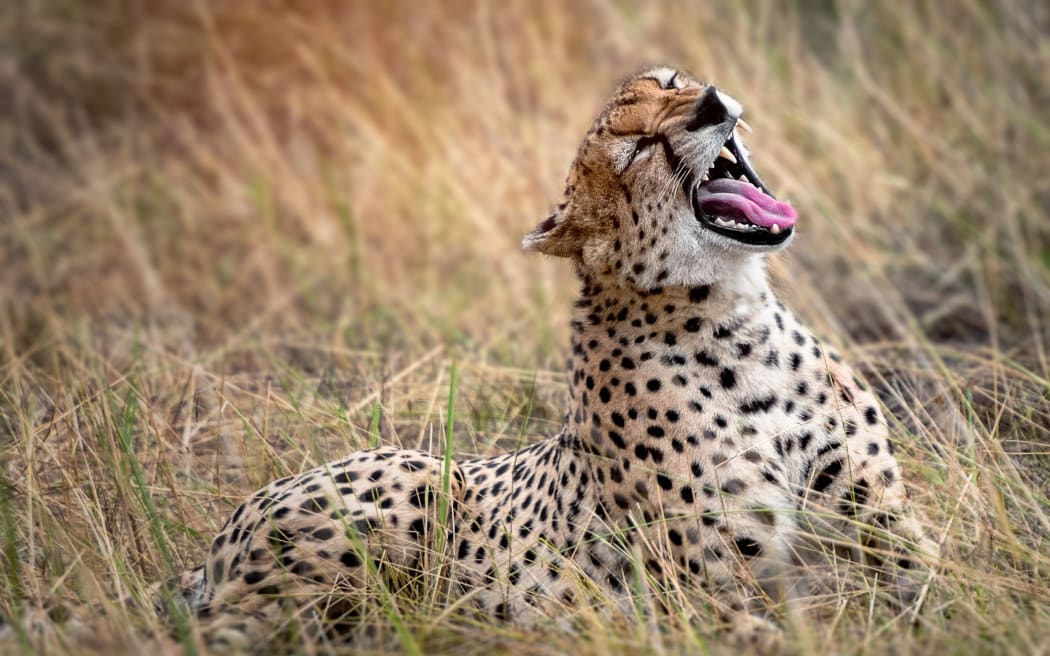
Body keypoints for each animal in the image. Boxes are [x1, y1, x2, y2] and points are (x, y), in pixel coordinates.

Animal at [168, 66, 939, 650]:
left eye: (673, 82)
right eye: (640, 149)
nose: (713, 104)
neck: (737, 323)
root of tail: (212, 553)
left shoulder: (877, 518)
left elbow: (936, 575)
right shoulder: (710, 597)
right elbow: (779, 630)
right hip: (407, 487)